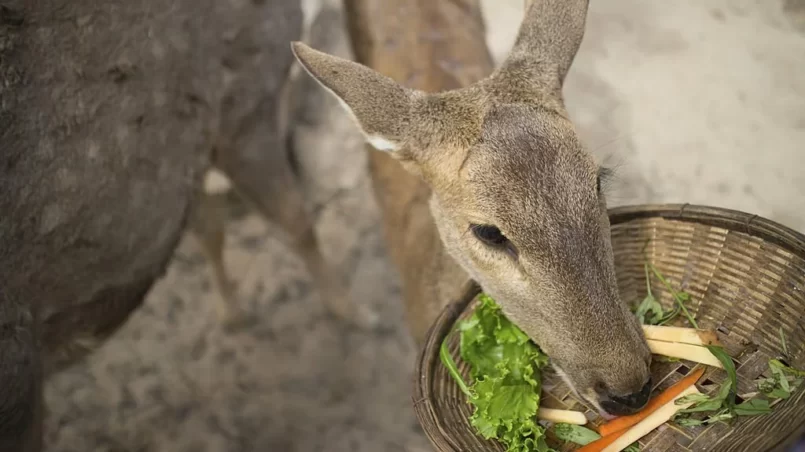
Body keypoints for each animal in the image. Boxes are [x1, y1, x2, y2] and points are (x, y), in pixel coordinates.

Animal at [0, 0, 376, 448]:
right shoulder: (245, 99)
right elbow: (296, 224)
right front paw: (355, 311)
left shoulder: (192, 138)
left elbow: (209, 231)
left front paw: (231, 313)